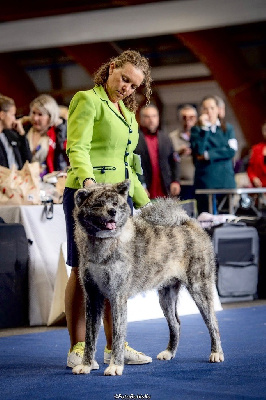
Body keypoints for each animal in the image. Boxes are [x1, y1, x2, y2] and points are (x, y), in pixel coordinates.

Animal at [71, 180, 223, 376]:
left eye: (115, 204)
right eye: (98, 204)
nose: (112, 212)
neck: (103, 246)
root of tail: (190, 223)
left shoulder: (117, 297)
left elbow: (117, 335)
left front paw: (115, 366)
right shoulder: (93, 297)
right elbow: (90, 336)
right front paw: (86, 365)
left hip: (199, 288)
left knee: (213, 323)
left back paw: (216, 353)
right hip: (166, 296)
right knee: (176, 323)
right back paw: (169, 352)